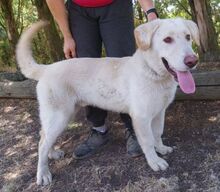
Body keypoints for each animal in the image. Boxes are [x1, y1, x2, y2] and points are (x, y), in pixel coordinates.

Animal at [15, 18, 199, 185]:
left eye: (188, 37)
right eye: (167, 39)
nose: (192, 61)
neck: (154, 73)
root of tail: (47, 68)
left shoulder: (159, 112)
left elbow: (158, 134)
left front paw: (160, 148)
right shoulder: (141, 117)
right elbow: (147, 141)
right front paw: (154, 161)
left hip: (64, 116)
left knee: (43, 135)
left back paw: (52, 154)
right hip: (59, 117)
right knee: (41, 144)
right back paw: (43, 174)